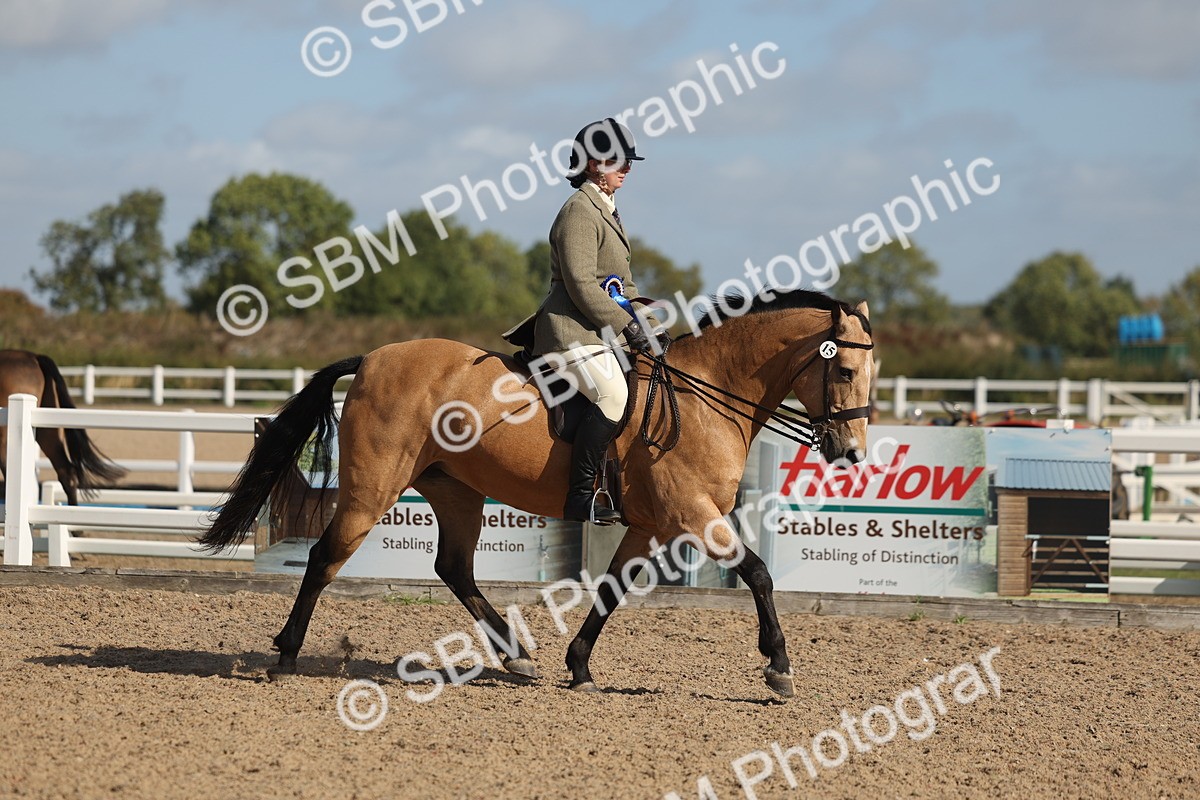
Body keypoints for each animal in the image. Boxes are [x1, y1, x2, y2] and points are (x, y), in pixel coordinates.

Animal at [199, 289, 874, 697]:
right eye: (843, 370)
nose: (852, 453)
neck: (703, 395)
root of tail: (371, 358)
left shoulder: (648, 524)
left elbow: (611, 591)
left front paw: (578, 665)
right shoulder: (693, 514)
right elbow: (758, 573)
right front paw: (778, 666)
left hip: (456, 491)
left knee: (454, 568)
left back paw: (517, 655)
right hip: (372, 489)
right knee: (325, 558)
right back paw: (286, 657)